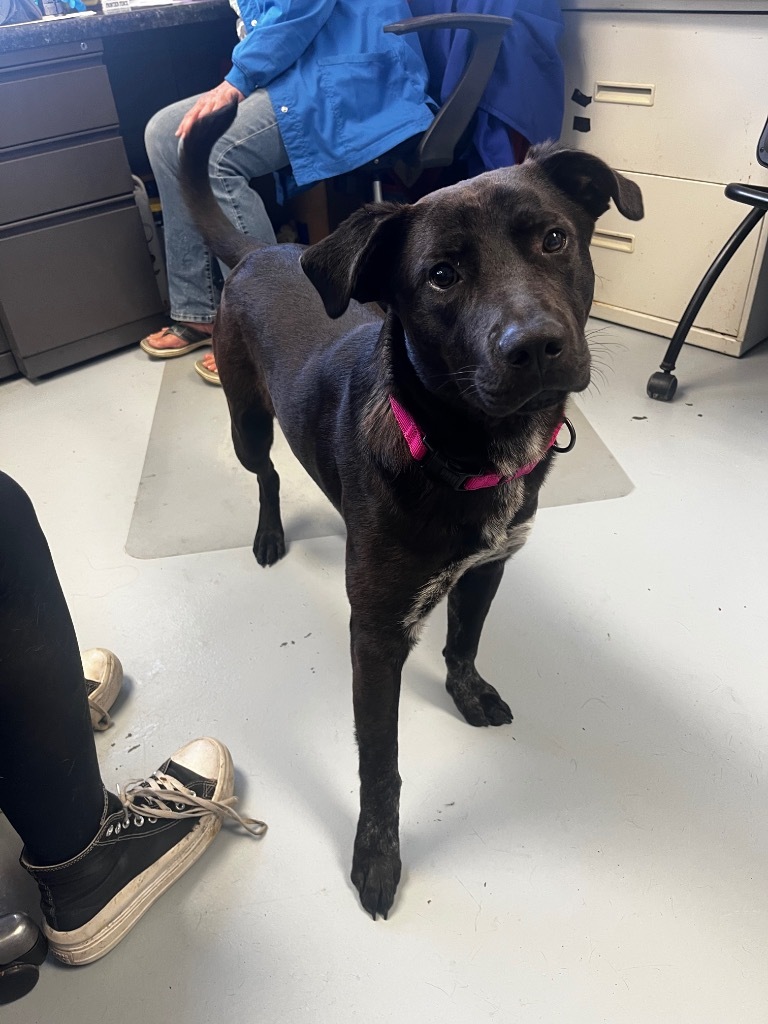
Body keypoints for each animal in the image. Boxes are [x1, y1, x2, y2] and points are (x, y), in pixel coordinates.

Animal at [180, 103, 643, 921]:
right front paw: (377, 855)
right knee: (266, 476)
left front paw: (468, 693)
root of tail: (262, 251)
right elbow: (381, 764)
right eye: (441, 275)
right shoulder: (376, 637)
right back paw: (269, 533)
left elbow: (463, 642)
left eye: (554, 239)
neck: (461, 451)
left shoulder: (488, 569)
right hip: (247, 422)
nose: (536, 345)